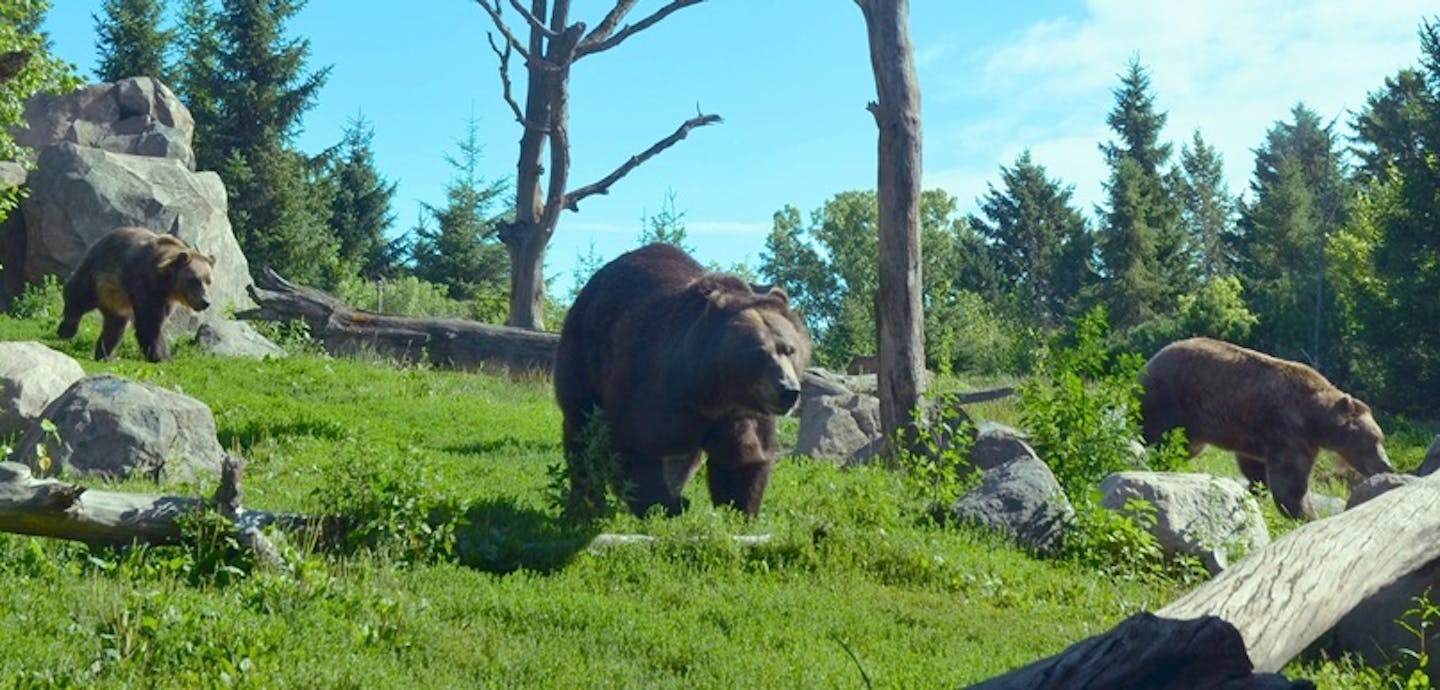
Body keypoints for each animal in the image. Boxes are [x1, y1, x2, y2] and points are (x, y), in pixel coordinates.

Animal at [57, 227, 216, 367]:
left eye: (209, 281)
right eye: (195, 280)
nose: (206, 302)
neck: (167, 283)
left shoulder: (166, 299)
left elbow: (155, 322)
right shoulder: (147, 286)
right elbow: (149, 324)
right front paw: (164, 358)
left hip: (117, 300)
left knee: (116, 325)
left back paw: (105, 354)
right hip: (98, 274)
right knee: (79, 295)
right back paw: (67, 329)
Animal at [555, 243, 817, 518]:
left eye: (789, 349)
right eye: (759, 352)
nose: (788, 390)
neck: (710, 393)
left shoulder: (740, 415)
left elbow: (742, 460)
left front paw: (740, 511)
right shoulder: (649, 387)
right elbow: (634, 445)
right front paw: (670, 504)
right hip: (584, 357)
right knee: (581, 431)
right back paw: (584, 503)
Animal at [1134, 337, 1393, 521]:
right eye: (1374, 439)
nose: (1386, 465)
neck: (1318, 420)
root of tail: (1148, 363)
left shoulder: (1258, 437)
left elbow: (1256, 470)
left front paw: (1256, 493)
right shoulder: (1291, 433)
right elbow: (1290, 484)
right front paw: (1306, 514)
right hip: (1171, 400)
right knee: (1159, 437)